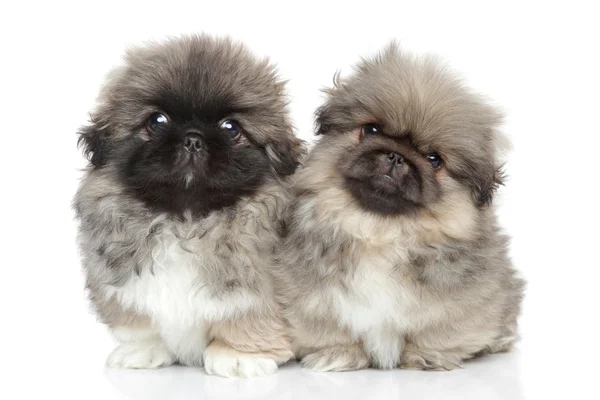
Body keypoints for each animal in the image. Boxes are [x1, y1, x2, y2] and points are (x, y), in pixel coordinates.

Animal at [72, 35, 302, 378]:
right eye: (157, 121)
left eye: (231, 128)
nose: (193, 139)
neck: (185, 220)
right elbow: (138, 325)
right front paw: (143, 350)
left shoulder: (258, 290)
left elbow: (249, 319)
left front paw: (238, 355)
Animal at [276, 43, 524, 372]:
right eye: (371, 130)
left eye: (434, 160)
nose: (396, 156)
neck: (380, 232)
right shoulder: (310, 297)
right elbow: (330, 329)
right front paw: (338, 354)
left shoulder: (461, 302)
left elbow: (440, 331)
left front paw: (428, 357)